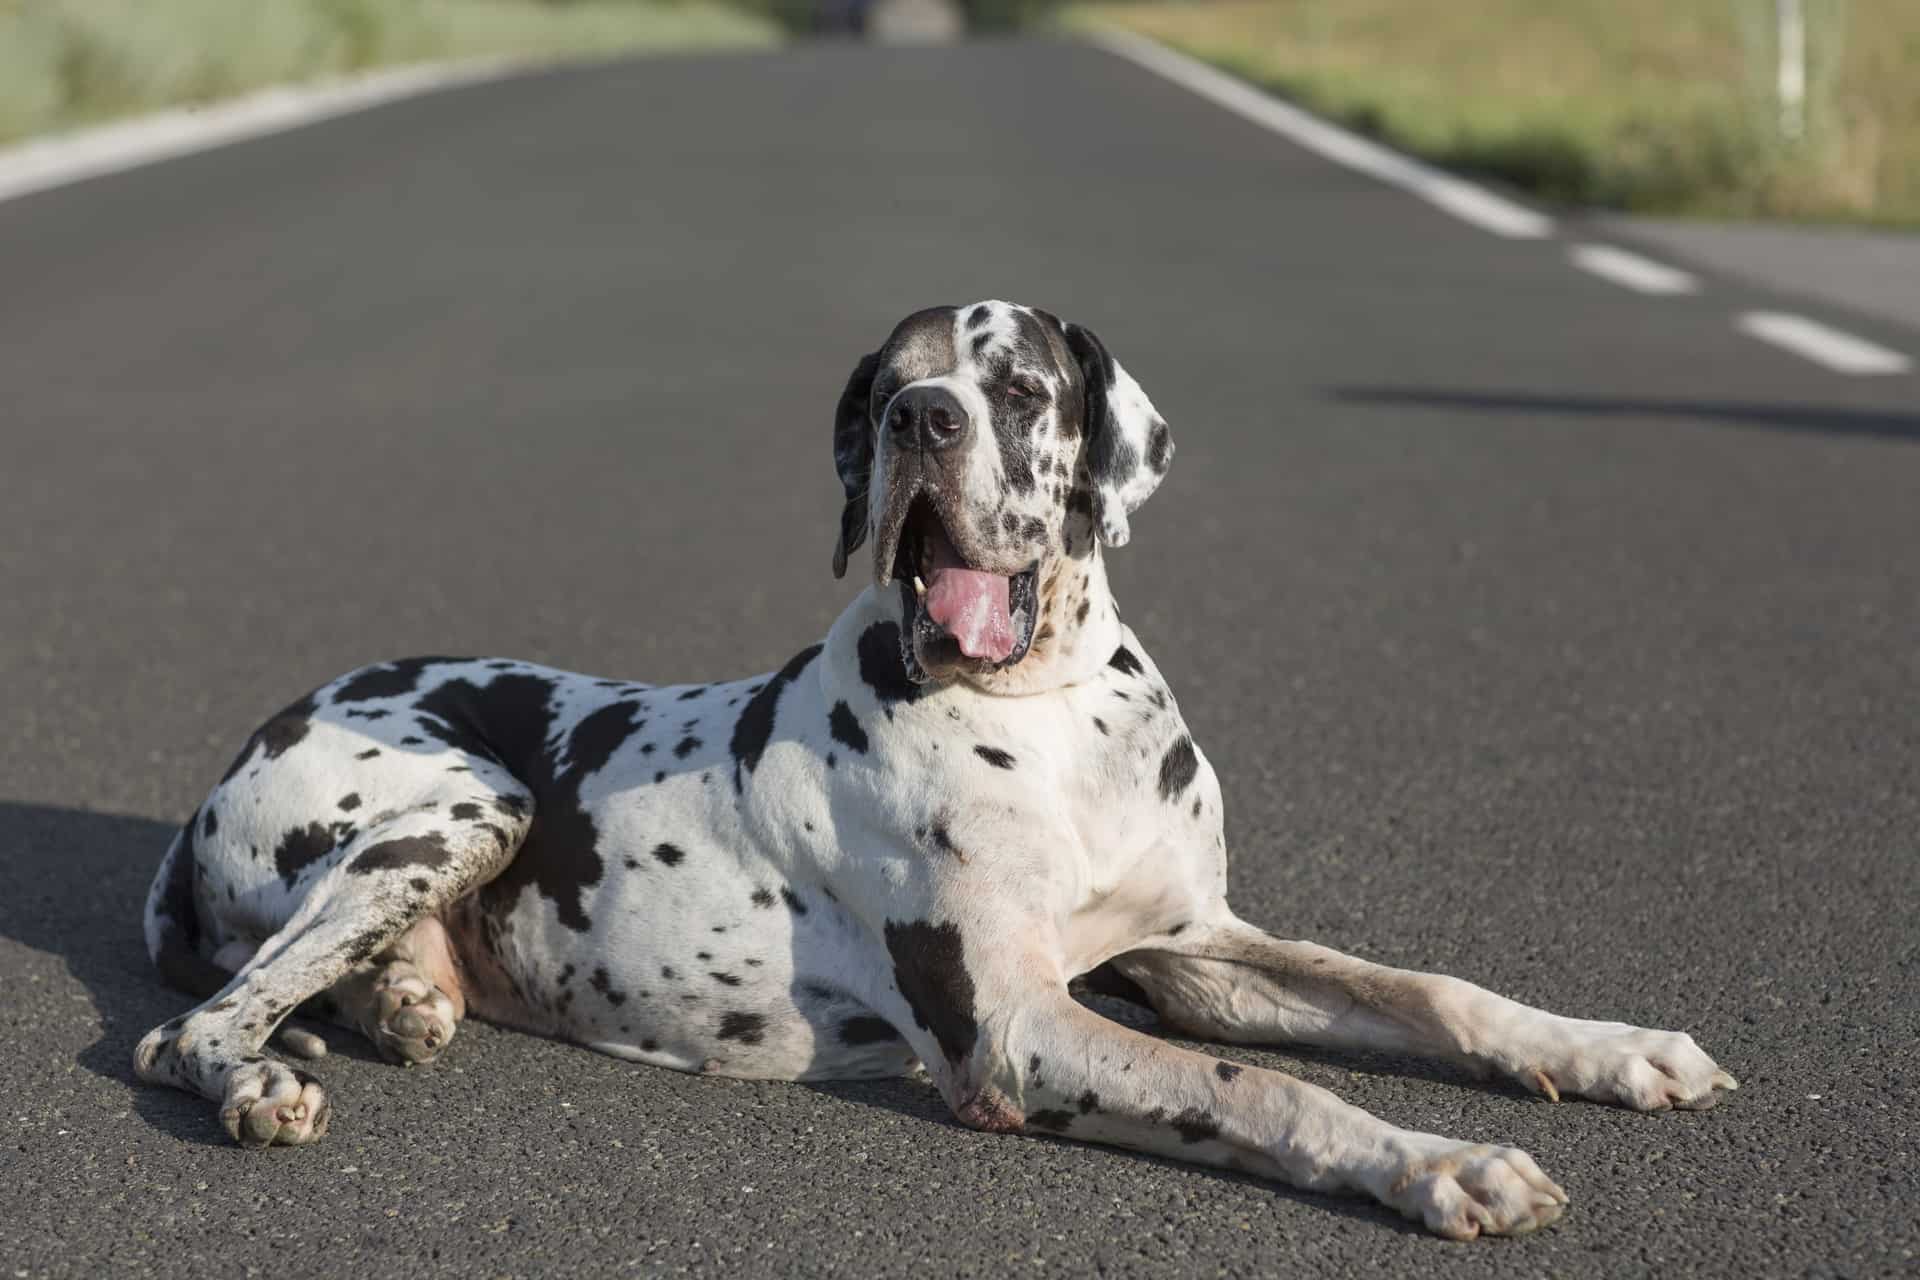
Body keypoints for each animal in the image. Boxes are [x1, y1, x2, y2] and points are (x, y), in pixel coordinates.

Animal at [127, 303, 1735, 1243]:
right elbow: (1269, 1090)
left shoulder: (1196, 952)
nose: (925, 421)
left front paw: (1613, 1048)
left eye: (1017, 386)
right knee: (193, 1020)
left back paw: (406, 994)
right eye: (889, 393)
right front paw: (1447, 1165)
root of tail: (237, 752)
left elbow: (1430, 993)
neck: (1051, 708)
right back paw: (262, 1074)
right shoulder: (1013, 1031)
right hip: (473, 795)